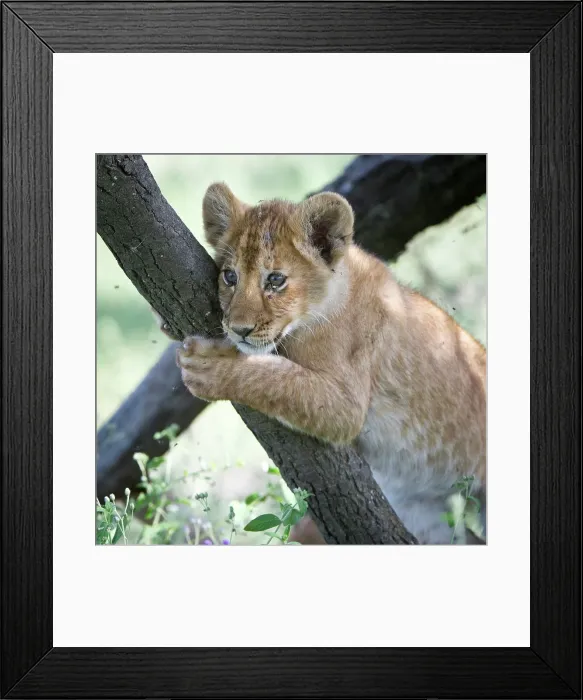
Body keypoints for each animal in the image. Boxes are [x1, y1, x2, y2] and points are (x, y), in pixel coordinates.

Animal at [176, 182, 487, 544]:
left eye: (276, 280)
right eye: (229, 276)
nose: (239, 329)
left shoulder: (346, 405)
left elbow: (276, 378)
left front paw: (210, 365)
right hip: (424, 518)